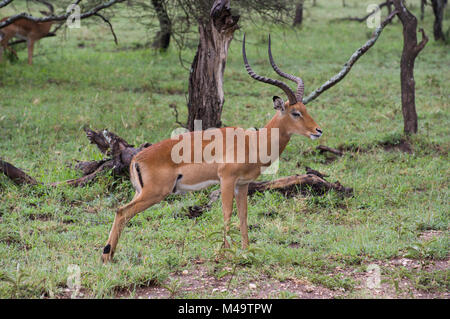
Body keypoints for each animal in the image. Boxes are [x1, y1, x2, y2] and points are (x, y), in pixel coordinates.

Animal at [101, 33, 324, 264]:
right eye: (295, 113)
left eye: (305, 108)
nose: (318, 130)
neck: (252, 142)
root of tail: (136, 159)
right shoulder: (226, 179)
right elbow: (226, 213)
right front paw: (224, 253)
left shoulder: (242, 184)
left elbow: (243, 216)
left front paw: (246, 251)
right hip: (154, 193)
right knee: (122, 211)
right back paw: (106, 257)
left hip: (143, 193)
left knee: (121, 212)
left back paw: (109, 255)